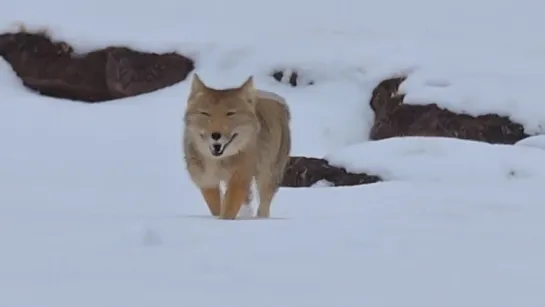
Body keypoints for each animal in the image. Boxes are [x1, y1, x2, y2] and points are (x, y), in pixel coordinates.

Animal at [182, 73, 294, 220]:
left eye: (230, 113)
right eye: (205, 113)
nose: (216, 135)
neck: (218, 162)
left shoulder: (239, 178)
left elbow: (229, 209)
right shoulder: (206, 181)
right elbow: (217, 207)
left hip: (268, 174)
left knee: (264, 204)